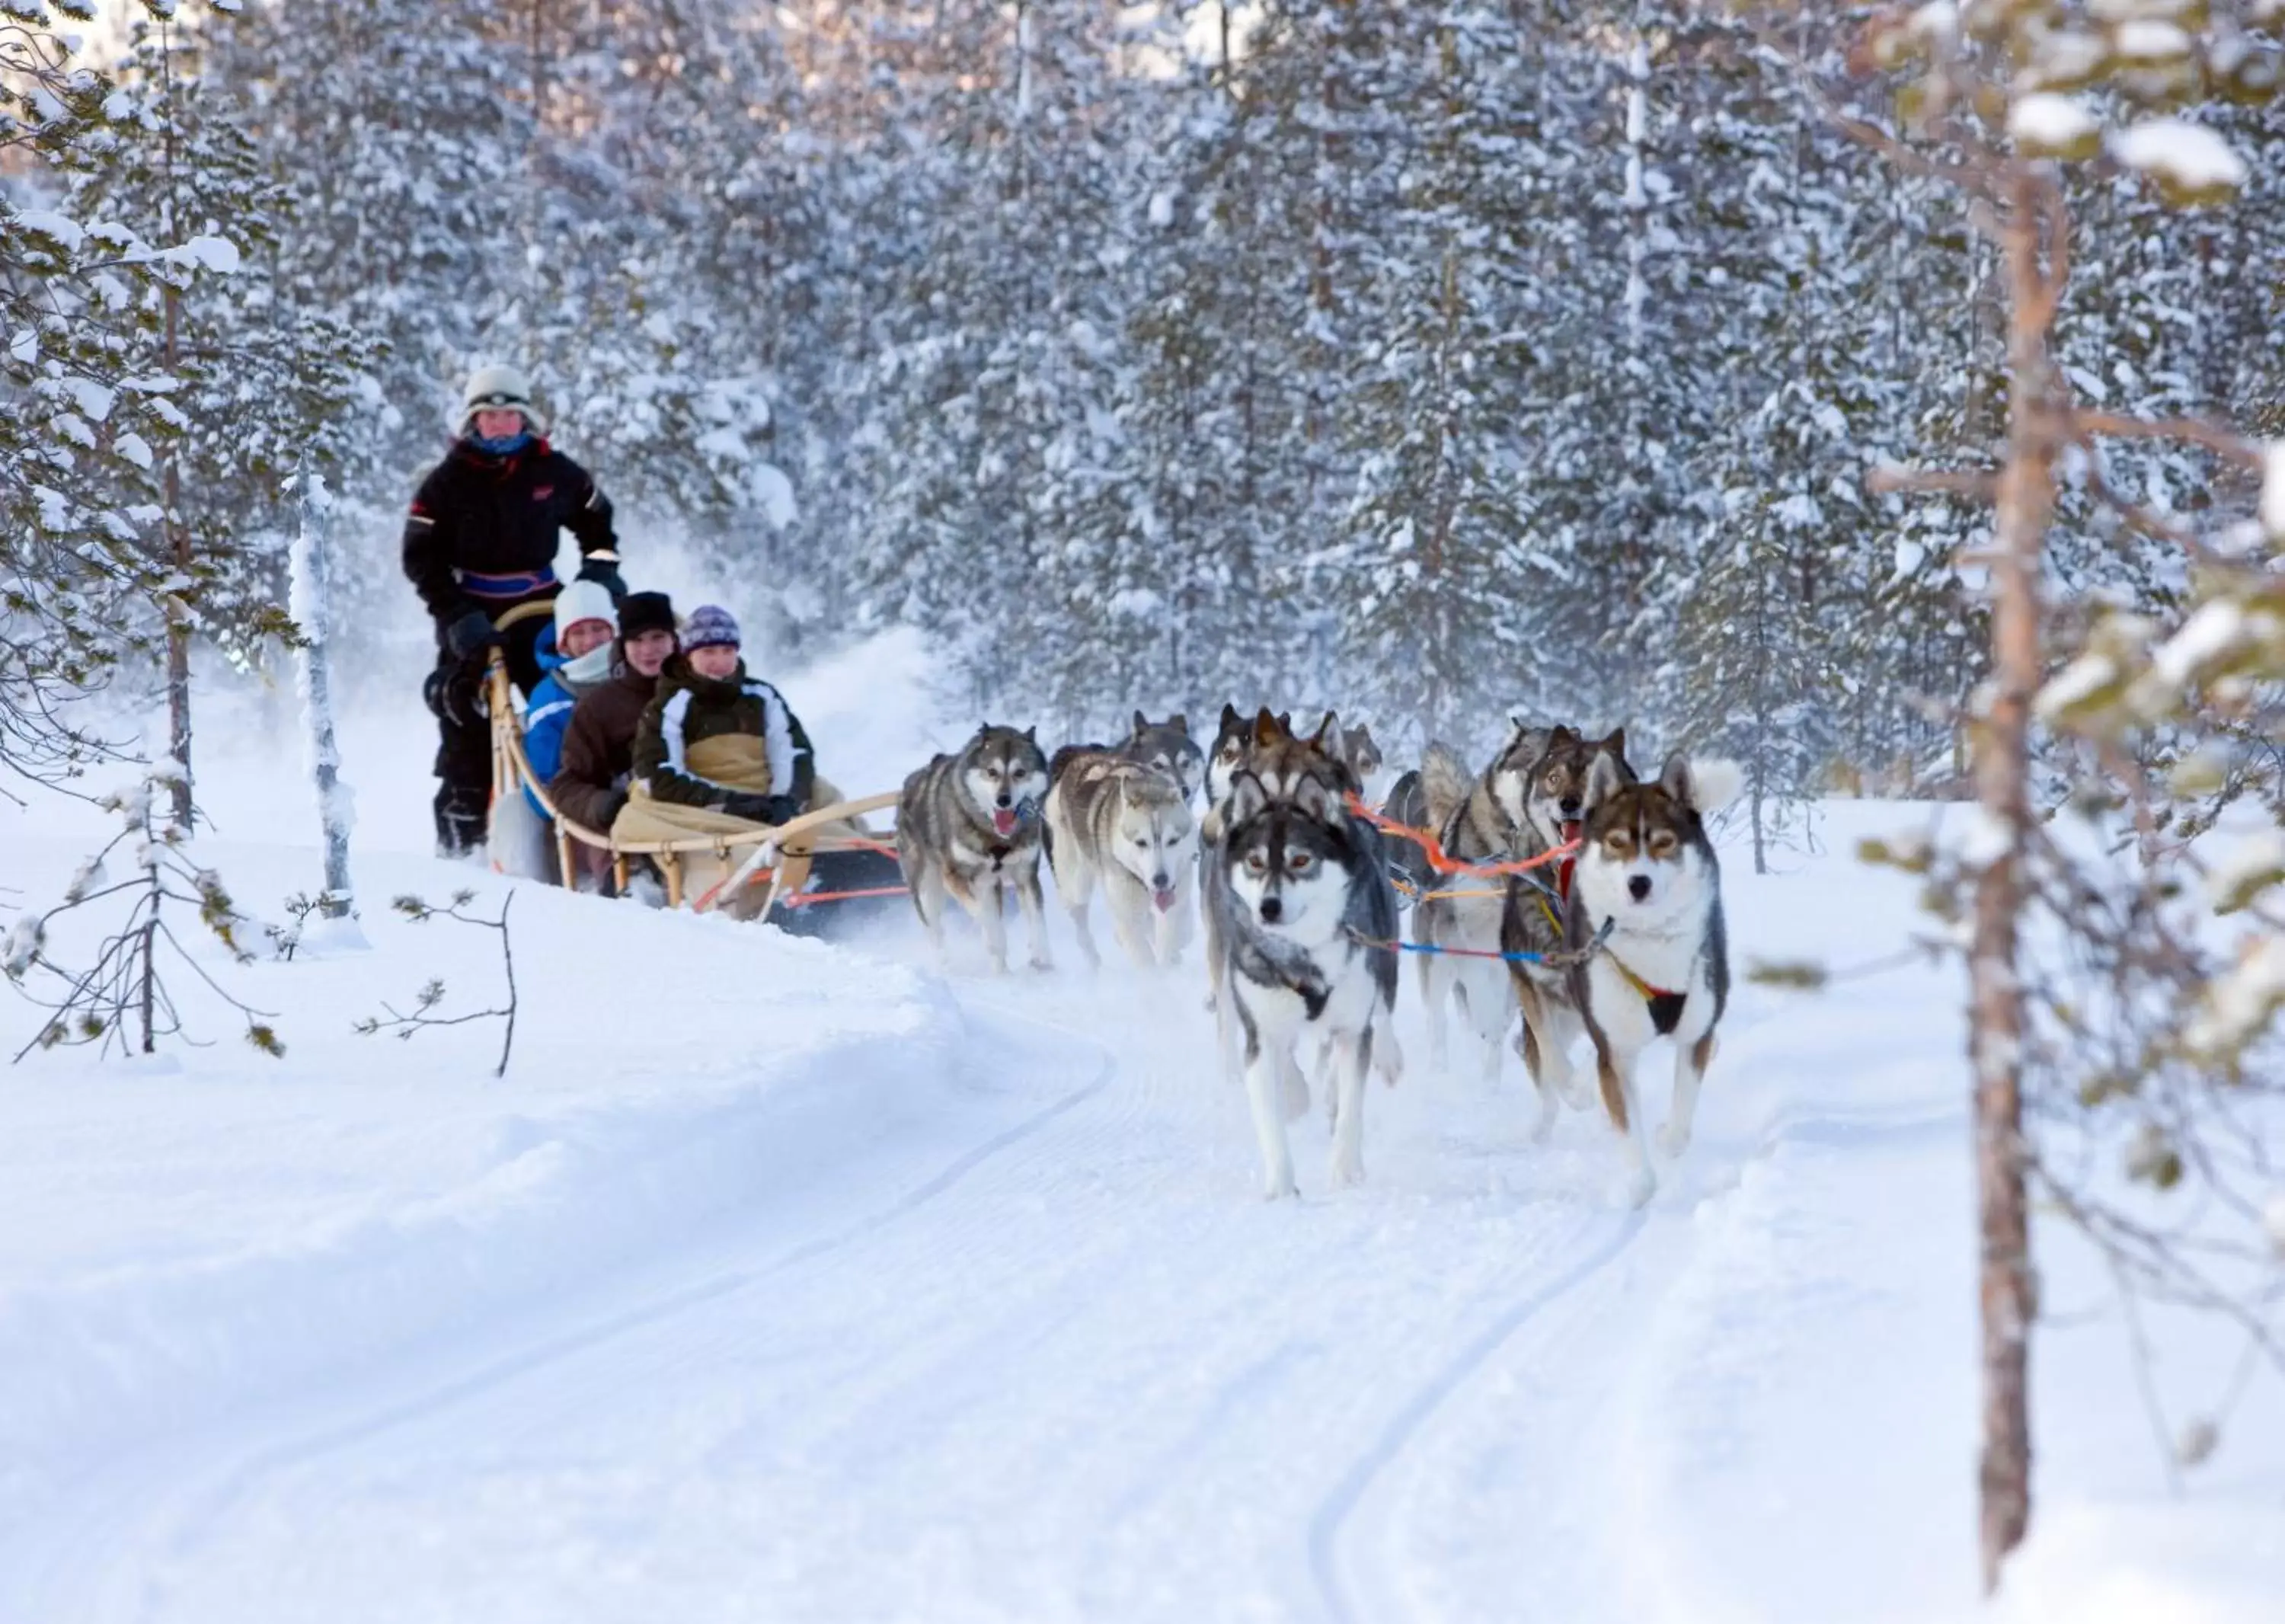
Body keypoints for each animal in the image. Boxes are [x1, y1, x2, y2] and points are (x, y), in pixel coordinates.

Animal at [905, 726, 1056, 977]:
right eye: (992, 772)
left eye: (1020, 772)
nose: (1003, 800)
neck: (994, 836)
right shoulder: (955, 877)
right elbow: (988, 920)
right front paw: (997, 937)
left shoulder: (1025, 875)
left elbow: (1038, 922)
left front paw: (1042, 956)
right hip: (928, 890)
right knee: (936, 932)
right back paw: (947, 966)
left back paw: (1002, 972)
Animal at [1047, 749, 1206, 964]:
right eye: (1141, 842)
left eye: (1173, 841)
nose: (1161, 879)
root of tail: (1079, 758)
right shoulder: (1128, 918)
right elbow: (1146, 959)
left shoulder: (1174, 902)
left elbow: (1174, 935)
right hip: (1077, 885)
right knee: (1078, 916)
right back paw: (1091, 956)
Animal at [1225, 767, 1398, 1197]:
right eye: (1255, 862)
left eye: (1301, 860)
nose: (1268, 907)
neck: (1303, 954)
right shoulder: (1260, 1031)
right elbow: (1270, 1118)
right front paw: (1282, 1188)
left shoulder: (1353, 1027)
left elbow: (1351, 1108)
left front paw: (1345, 1173)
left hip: (1385, 960)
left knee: (1380, 1015)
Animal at [1499, 730, 1645, 1137]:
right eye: (1555, 778)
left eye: (1596, 774)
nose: (1570, 803)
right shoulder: (1528, 983)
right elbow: (1552, 1058)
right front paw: (1575, 1090)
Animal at [1572, 753, 1727, 1206]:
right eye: (1616, 842)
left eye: (1663, 842)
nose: (1638, 883)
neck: (1650, 940)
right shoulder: (1617, 1050)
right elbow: (1626, 1123)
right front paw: (1639, 1182)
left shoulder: (1695, 1035)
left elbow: (1681, 1122)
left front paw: (1666, 1139)